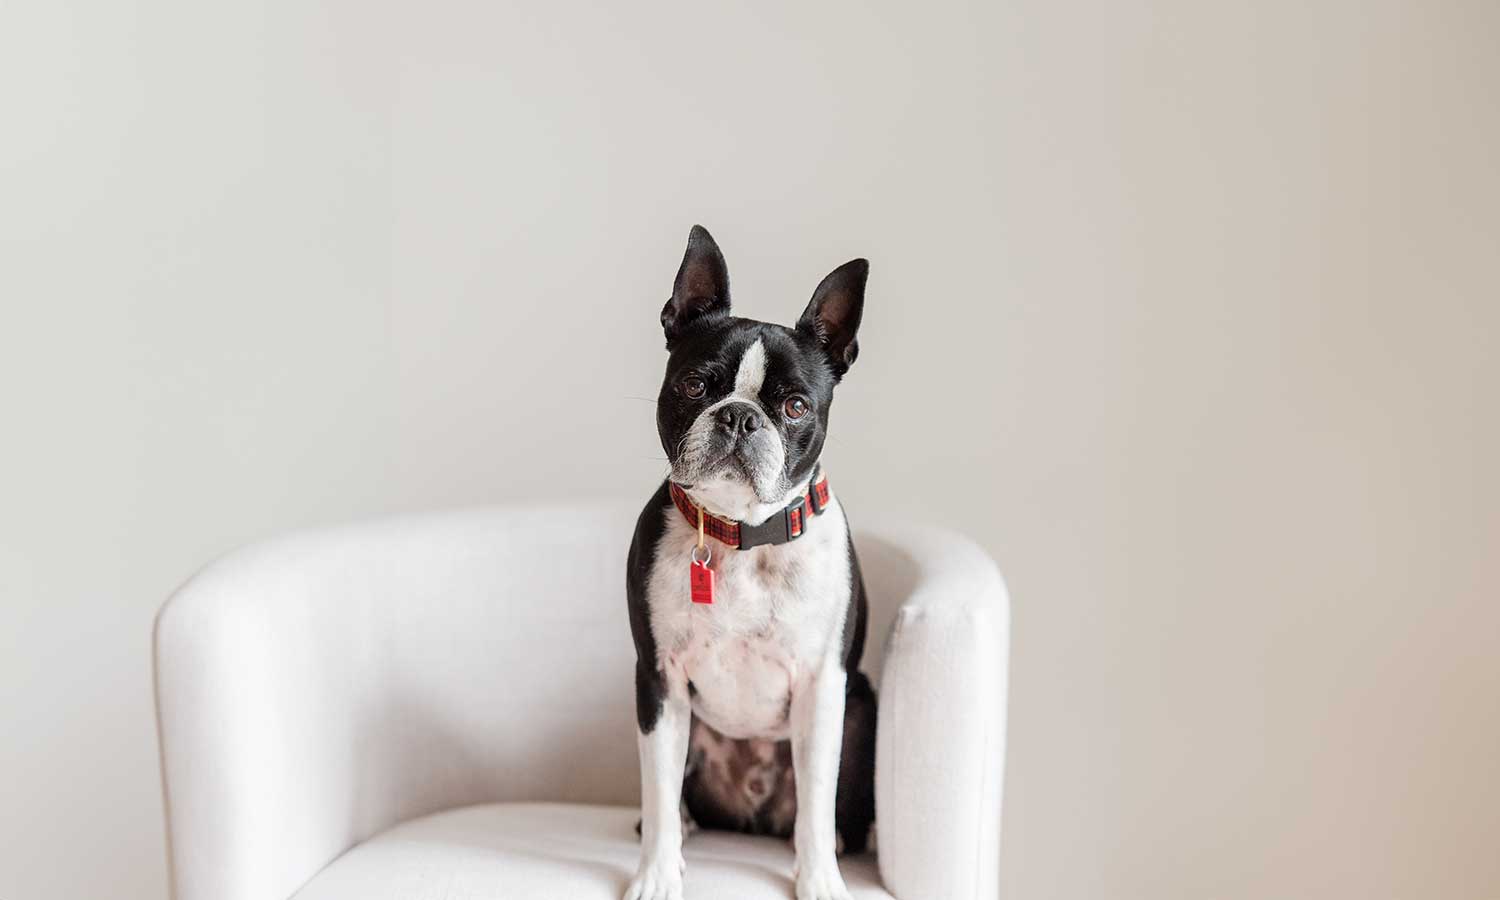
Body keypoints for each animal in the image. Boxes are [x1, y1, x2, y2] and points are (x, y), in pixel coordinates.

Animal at [624, 228, 876, 900]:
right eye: (694, 386)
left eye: (795, 407)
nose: (739, 416)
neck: (741, 535)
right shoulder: (657, 680)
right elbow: (658, 787)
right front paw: (657, 875)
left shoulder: (822, 686)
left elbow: (816, 797)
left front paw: (820, 881)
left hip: (861, 699)